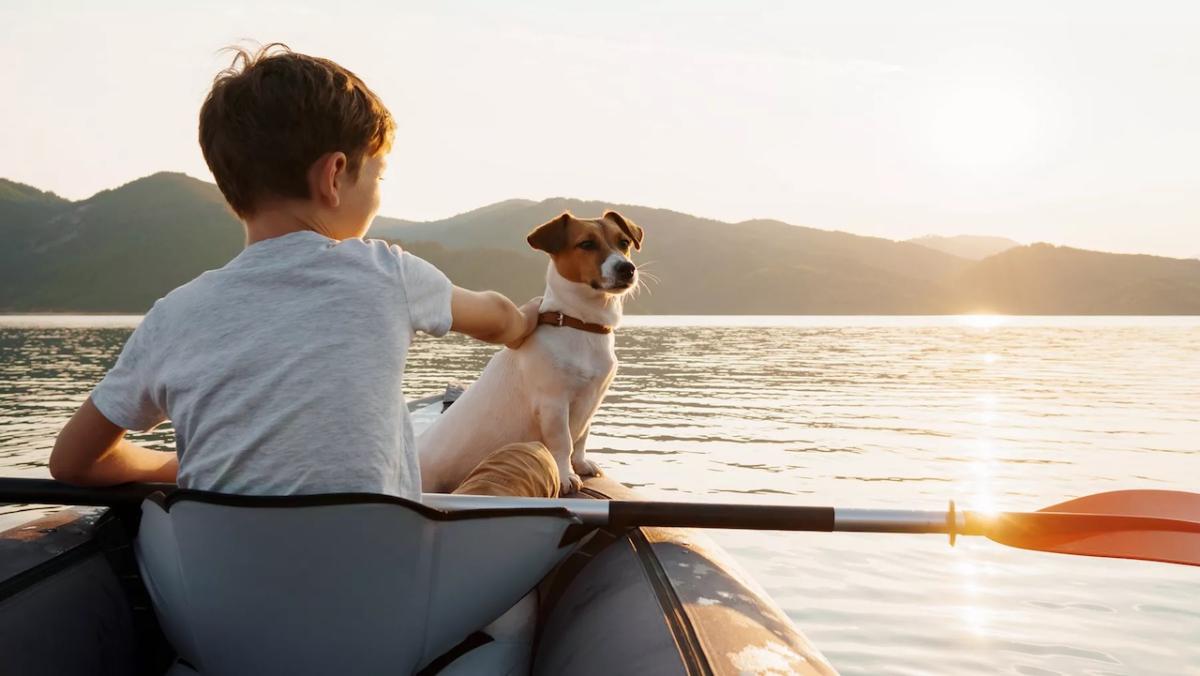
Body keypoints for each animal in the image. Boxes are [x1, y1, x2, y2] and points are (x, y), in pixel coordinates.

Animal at [422, 208, 648, 494]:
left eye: (624, 242)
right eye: (586, 244)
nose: (627, 268)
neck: (581, 324)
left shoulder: (592, 399)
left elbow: (582, 438)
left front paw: (581, 464)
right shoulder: (553, 404)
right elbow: (563, 442)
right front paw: (566, 475)